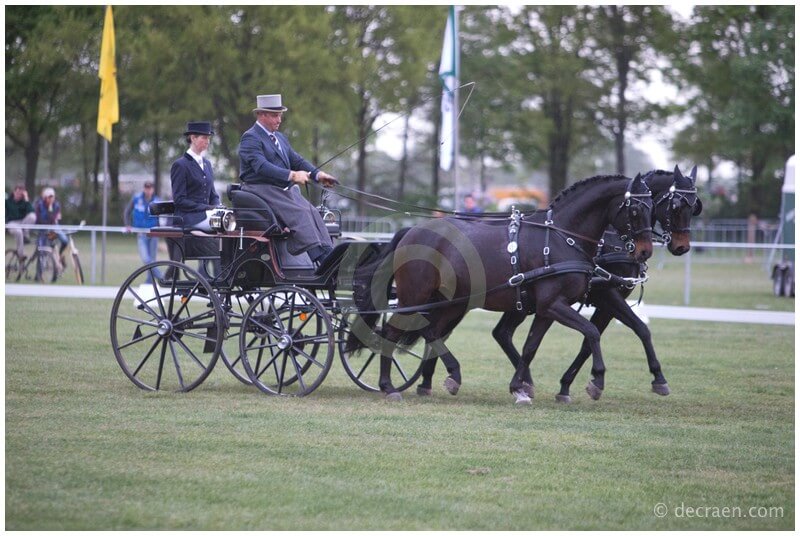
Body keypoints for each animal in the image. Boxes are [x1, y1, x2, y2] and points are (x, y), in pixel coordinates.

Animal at [354, 174, 652, 400]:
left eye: (653, 206)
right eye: (636, 210)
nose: (645, 251)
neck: (561, 237)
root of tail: (412, 231)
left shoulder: (548, 308)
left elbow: (531, 346)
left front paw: (520, 387)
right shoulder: (554, 304)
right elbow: (591, 332)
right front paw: (597, 380)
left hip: (449, 302)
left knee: (431, 331)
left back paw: (444, 377)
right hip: (414, 296)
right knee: (392, 332)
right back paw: (389, 386)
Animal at [418, 165, 700, 404]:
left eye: (694, 207)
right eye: (675, 206)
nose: (681, 247)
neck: (566, 237)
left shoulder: (599, 299)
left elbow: (638, 329)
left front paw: (657, 378)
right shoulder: (597, 297)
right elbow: (591, 335)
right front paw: (584, 383)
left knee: (485, 333)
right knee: (438, 331)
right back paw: (436, 378)